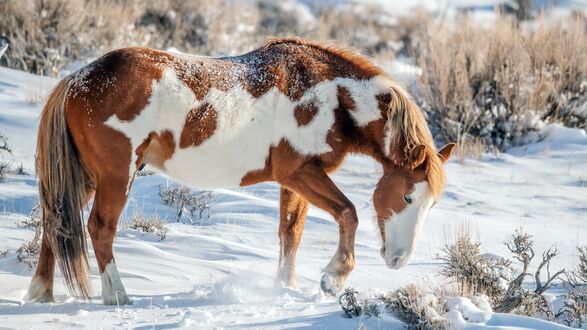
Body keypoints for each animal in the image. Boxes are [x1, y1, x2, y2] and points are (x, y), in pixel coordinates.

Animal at [25, 38, 458, 304]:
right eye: (407, 196)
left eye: (432, 205)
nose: (399, 259)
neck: (332, 97)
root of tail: (77, 79)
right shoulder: (299, 172)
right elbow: (348, 213)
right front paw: (334, 277)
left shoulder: (294, 182)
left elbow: (290, 233)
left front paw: (286, 286)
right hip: (117, 175)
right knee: (99, 228)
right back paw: (117, 295)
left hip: (86, 176)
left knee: (56, 222)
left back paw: (40, 293)